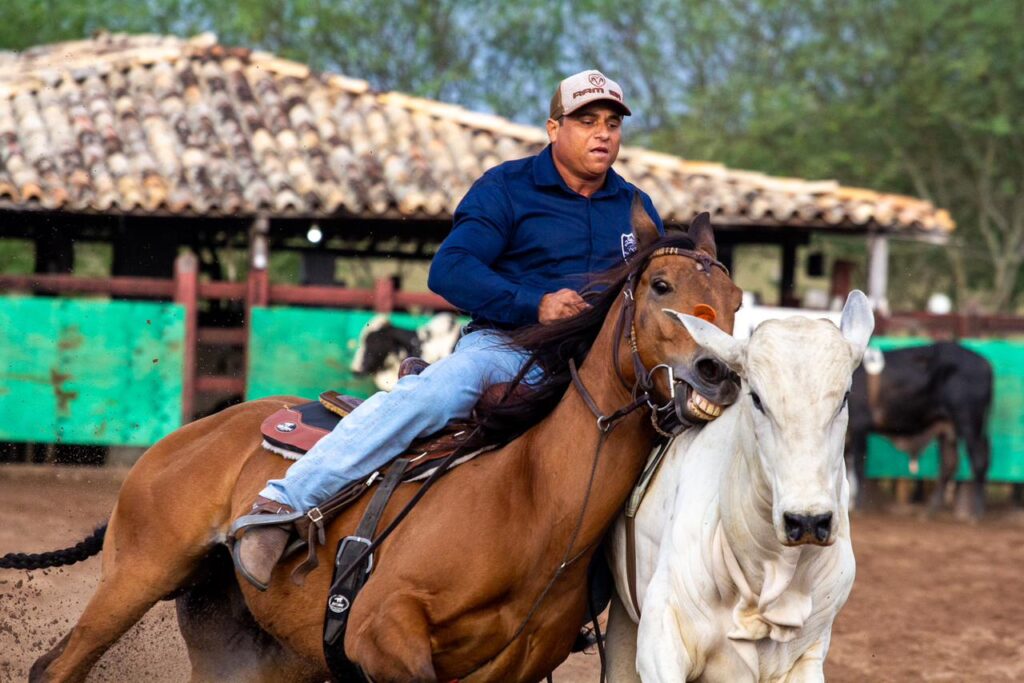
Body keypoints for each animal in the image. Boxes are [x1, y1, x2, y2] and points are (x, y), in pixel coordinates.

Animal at [22, 209, 745, 683]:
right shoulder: (381, 636)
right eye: (660, 287)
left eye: (736, 300)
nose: (719, 370)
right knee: (53, 669)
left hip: (246, 649)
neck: (532, 499)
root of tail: (189, 435)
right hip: (136, 575)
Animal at [847, 342, 991, 518]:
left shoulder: (859, 425)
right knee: (949, 463)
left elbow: (858, 465)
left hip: (969, 423)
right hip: (948, 427)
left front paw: (858, 506)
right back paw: (930, 509)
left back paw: (977, 512)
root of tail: (985, 363)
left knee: (978, 460)